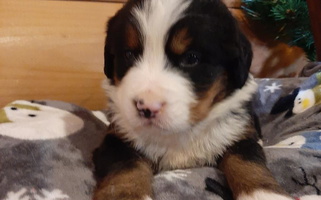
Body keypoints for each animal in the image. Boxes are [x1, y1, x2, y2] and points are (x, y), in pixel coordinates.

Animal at [92, 0, 292, 200]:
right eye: (128, 54)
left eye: (191, 58)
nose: (147, 107)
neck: (180, 133)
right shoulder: (117, 138)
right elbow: (125, 168)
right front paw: (125, 194)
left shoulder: (237, 134)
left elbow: (247, 162)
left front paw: (265, 193)